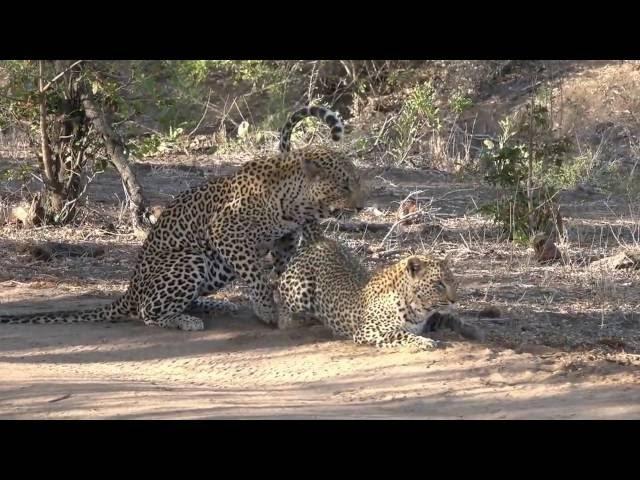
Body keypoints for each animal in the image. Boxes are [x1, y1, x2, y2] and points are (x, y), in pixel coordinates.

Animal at [1, 105, 364, 330]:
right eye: (346, 184)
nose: (361, 207)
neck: (294, 200)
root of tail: (129, 291)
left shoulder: (285, 239)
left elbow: (280, 268)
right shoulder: (227, 232)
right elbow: (258, 277)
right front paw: (266, 310)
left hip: (214, 267)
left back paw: (218, 307)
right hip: (192, 258)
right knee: (148, 312)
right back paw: (186, 321)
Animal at [272, 223, 482, 350]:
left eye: (453, 282)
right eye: (438, 284)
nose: (454, 300)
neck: (418, 308)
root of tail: (318, 241)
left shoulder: (429, 319)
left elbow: (450, 318)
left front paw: (474, 331)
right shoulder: (368, 330)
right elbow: (400, 334)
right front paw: (425, 341)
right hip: (299, 292)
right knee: (280, 306)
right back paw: (297, 321)